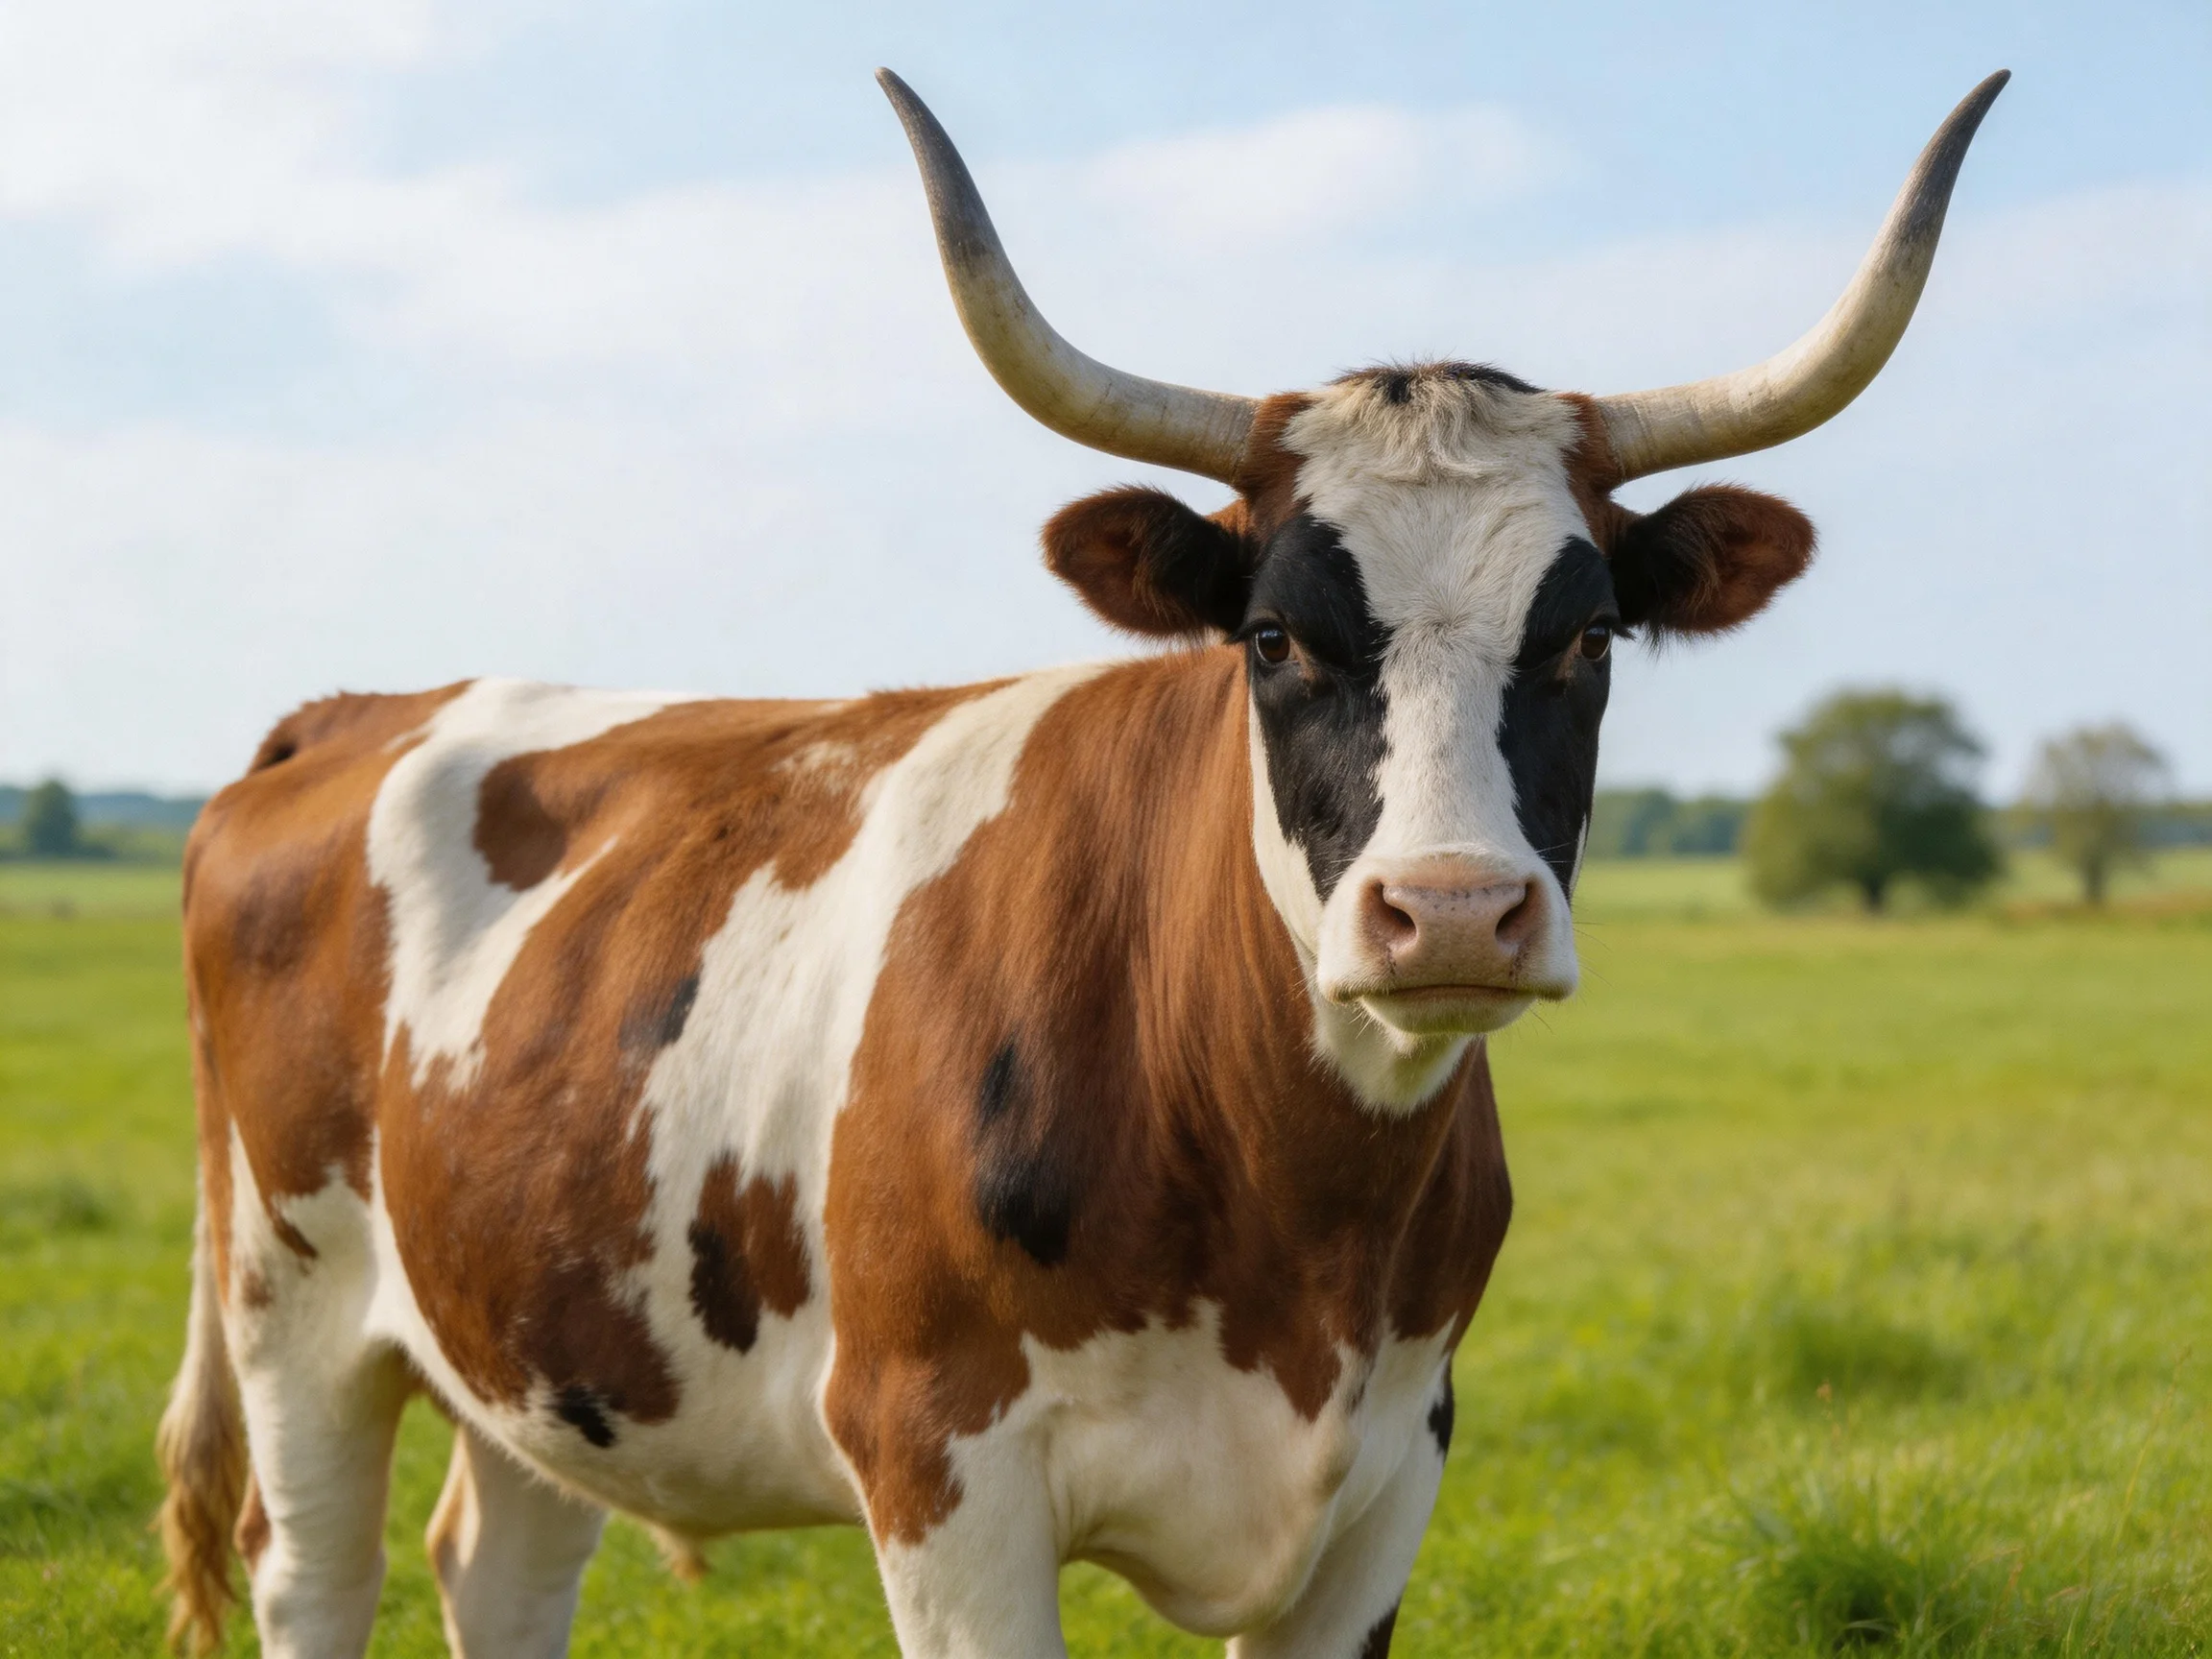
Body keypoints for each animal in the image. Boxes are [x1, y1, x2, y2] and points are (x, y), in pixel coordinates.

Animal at [157, 67, 2006, 1659]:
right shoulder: (942, 1475)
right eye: (1271, 635)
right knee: (315, 1572)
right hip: (293, 1311)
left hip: (546, 1339)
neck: (1285, 1207)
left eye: (1587, 637)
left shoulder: (1388, 1482)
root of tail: (347, 714)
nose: (1450, 913)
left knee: (502, 1564)